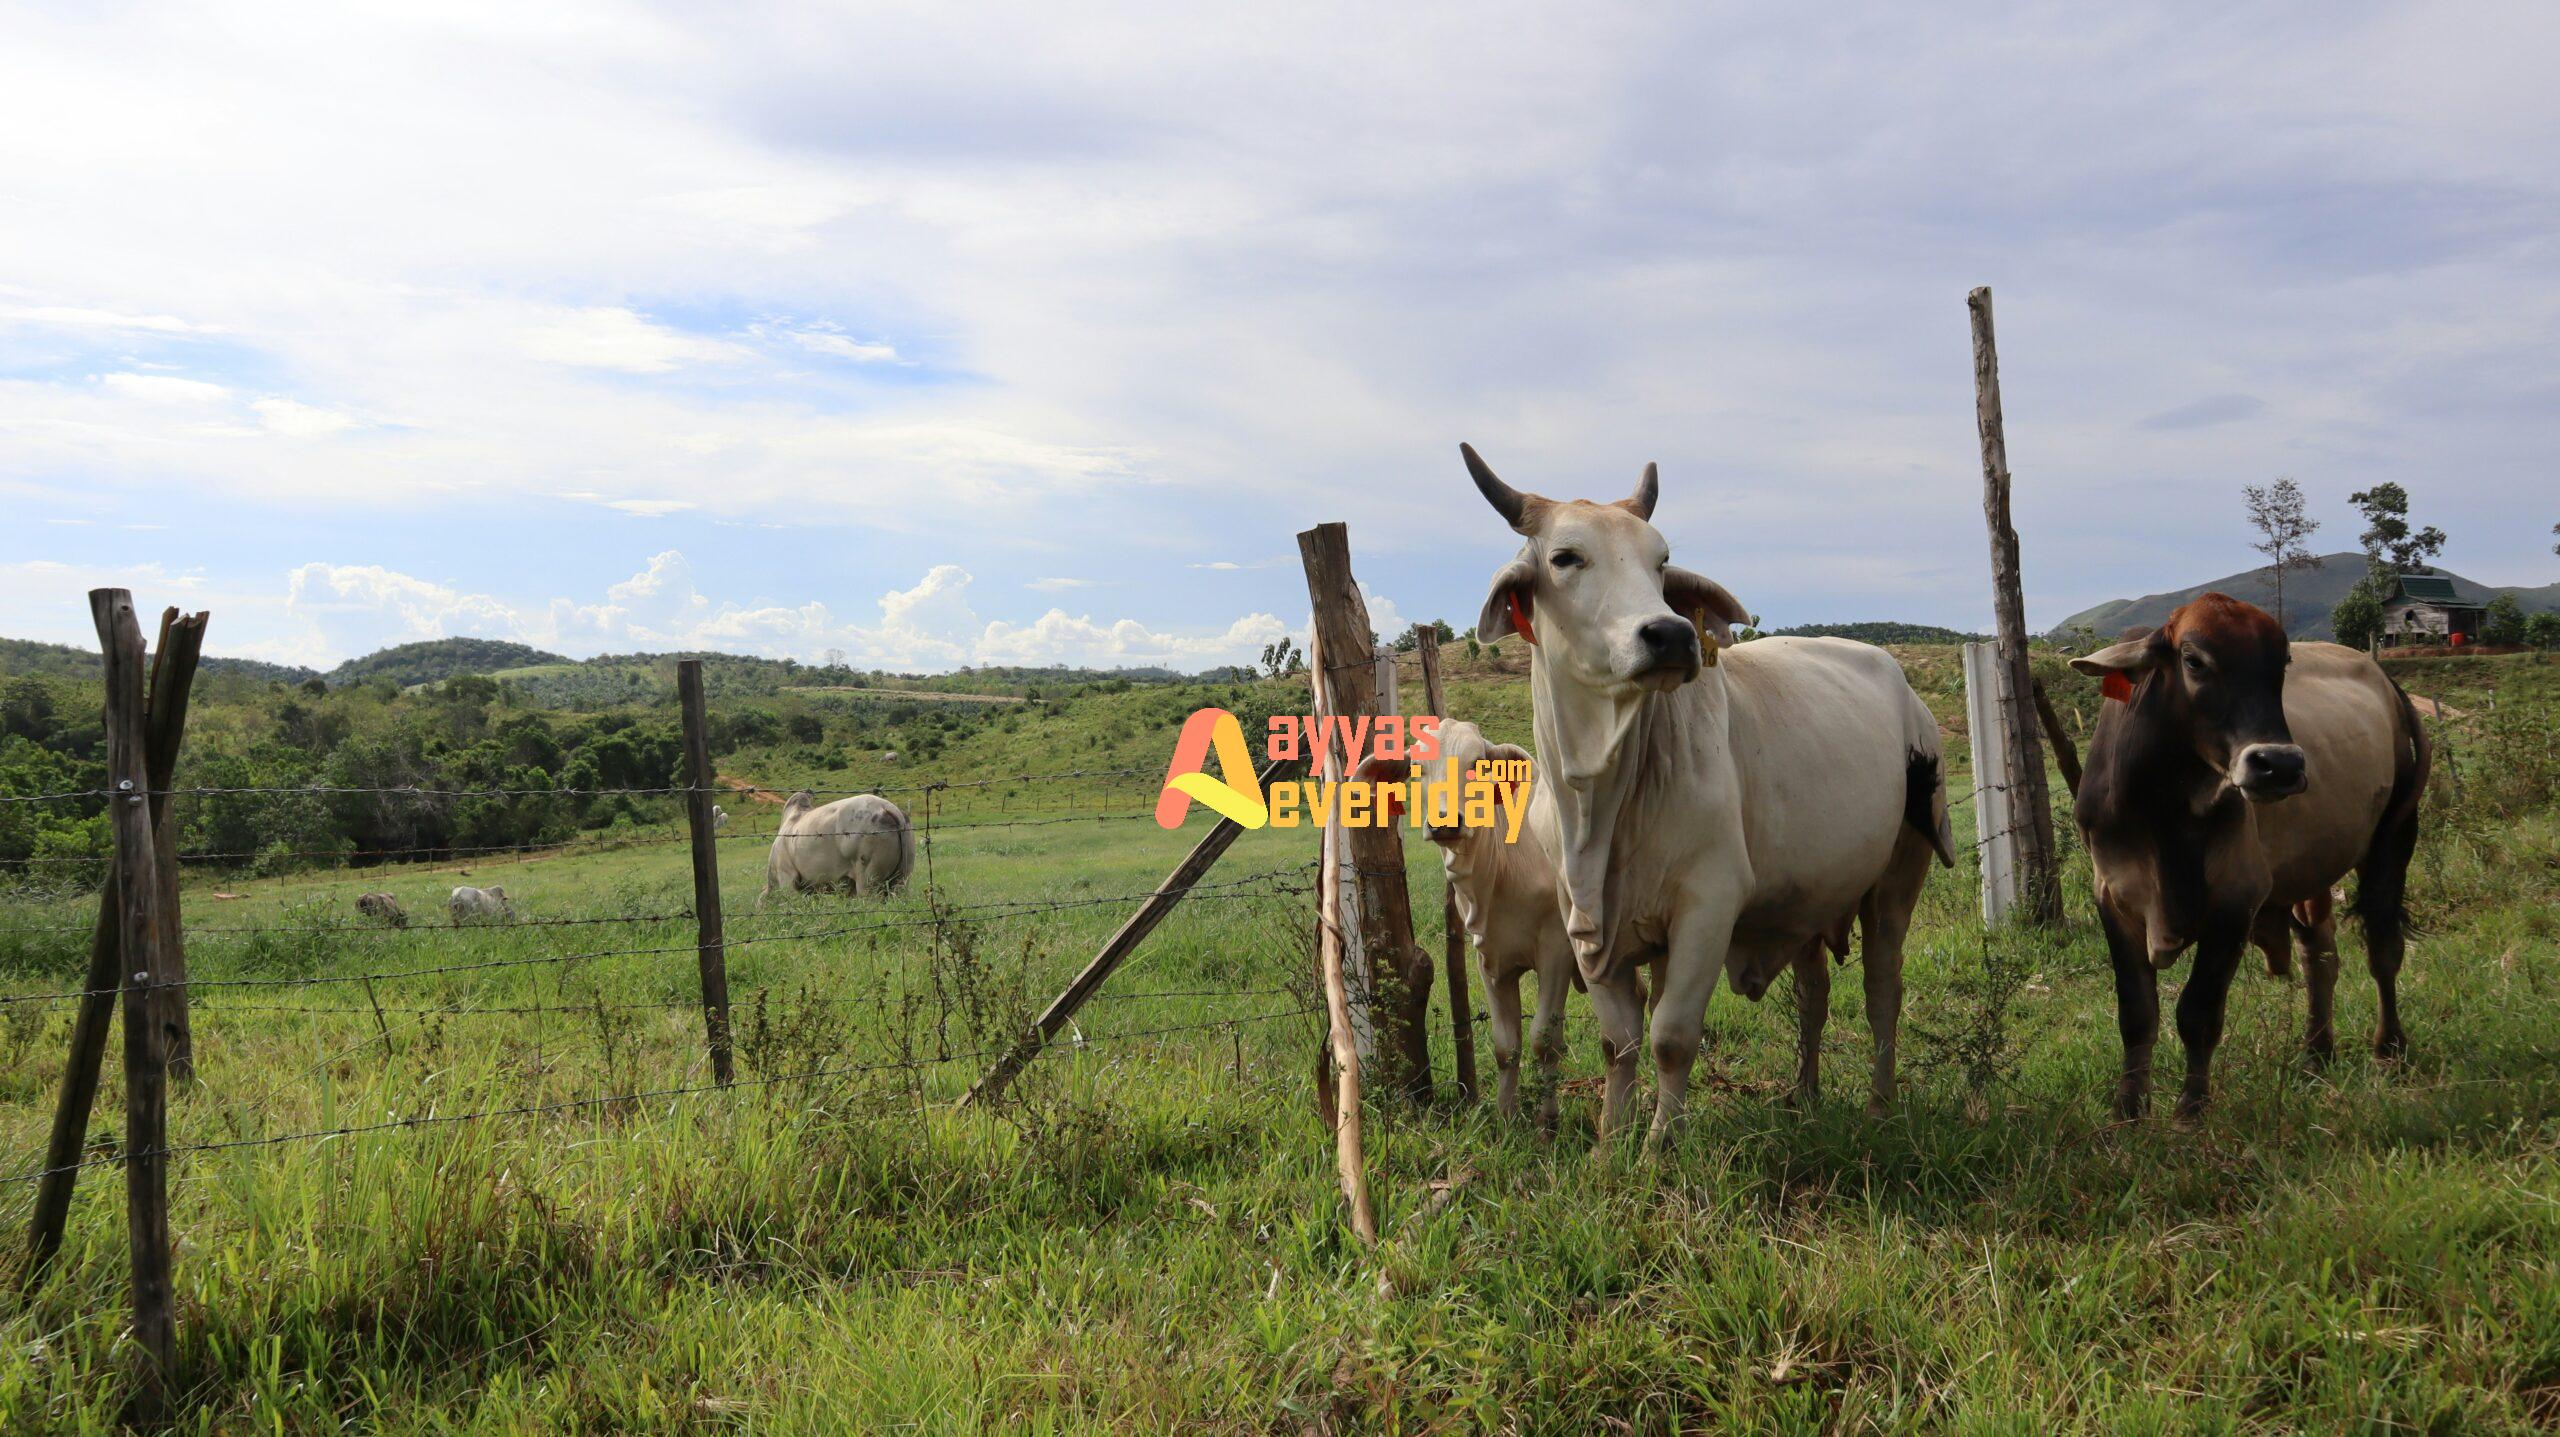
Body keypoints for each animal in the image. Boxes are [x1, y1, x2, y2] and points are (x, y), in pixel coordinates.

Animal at [1464, 443, 1955, 1147]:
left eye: (1661, 560)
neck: (1600, 800)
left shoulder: (1708, 904)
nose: (1671, 635)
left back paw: (1878, 1106)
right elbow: (1619, 1042)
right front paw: (1611, 1144)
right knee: (1814, 993)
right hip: (1807, 898)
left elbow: (1670, 1036)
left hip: (1899, 873)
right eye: (1565, 557)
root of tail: (1907, 692)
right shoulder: (1587, 928)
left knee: (1881, 989)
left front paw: (1660, 1144)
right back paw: (1805, 1096)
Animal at [2068, 594, 2426, 1121]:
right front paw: (2127, 1113)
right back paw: (2316, 1054)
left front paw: (2190, 1113)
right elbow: (2136, 1015)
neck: (2160, 807)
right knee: (2320, 955)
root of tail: (2387, 682)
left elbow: (2197, 1013)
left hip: (2394, 839)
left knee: (2383, 950)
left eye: (2282, 664)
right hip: (2307, 871)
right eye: (2193, 661)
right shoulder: (2113, 897)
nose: (2280, 765)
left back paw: (2388, 1050)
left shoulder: (2235, 900)